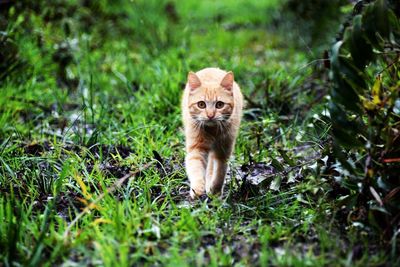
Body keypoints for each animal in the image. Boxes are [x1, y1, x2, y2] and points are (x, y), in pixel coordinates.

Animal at [182, 68, 244, 200]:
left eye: (219, 105)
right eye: (201, 104)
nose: (210, 115)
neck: (212, 131)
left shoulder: (224, 151)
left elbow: (220, 172)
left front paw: (215, 190)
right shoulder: (196, 149)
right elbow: (195, 168)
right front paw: (197, 188)